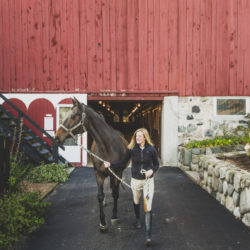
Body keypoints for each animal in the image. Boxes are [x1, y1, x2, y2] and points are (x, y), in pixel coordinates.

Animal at [55, 96, 129, 231]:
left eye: (74, 116)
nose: (56, 137)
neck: (107, 147)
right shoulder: (98, 173)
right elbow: (99, 196)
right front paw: (103, 222)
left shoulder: (117, 173)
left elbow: (115, 194)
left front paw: (114, 216)